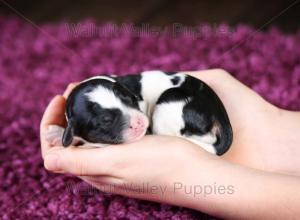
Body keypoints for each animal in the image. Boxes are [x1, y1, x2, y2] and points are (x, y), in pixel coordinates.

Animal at [47, 70, 233, 155]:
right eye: (105, 121)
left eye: (129, 100)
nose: (141, 123)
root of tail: (219, 113)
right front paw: (57, 134)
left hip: (168, 101)